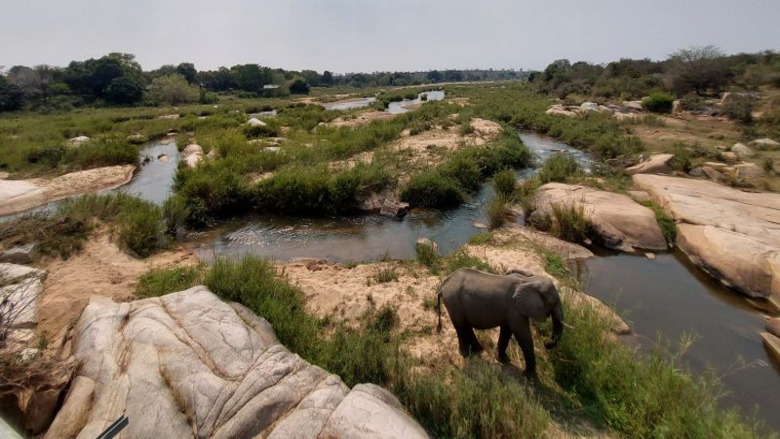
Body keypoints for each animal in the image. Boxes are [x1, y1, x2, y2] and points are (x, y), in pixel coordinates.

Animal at [436, 266, 564, 380]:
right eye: (554, 302)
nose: (547, 343)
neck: (529, 281)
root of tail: (443, 285)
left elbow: (507, 331)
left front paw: (503, 360)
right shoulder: (514, 308)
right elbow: (522, 335)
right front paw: (530, 377)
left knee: (465, 325)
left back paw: (478, 350)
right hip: (453, 301)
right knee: (460, 325)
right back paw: (466, 354)